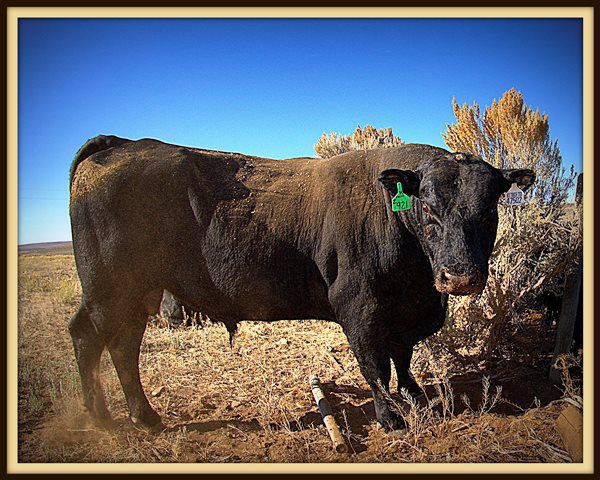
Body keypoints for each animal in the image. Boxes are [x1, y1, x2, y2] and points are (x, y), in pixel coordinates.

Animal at [68, 136, 532, 432]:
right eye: (429, 209)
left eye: (489, 209)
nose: (461, 276)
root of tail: (119, 144)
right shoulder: (360, 309)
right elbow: (376, 365)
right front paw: (390, 418)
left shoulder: (409, 311)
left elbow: (403, 357)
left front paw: (417, 397)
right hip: (111, 293)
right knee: (99, 340)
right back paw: (109, 418)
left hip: (128, 297)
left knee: (111, 343)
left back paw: (130, 416)